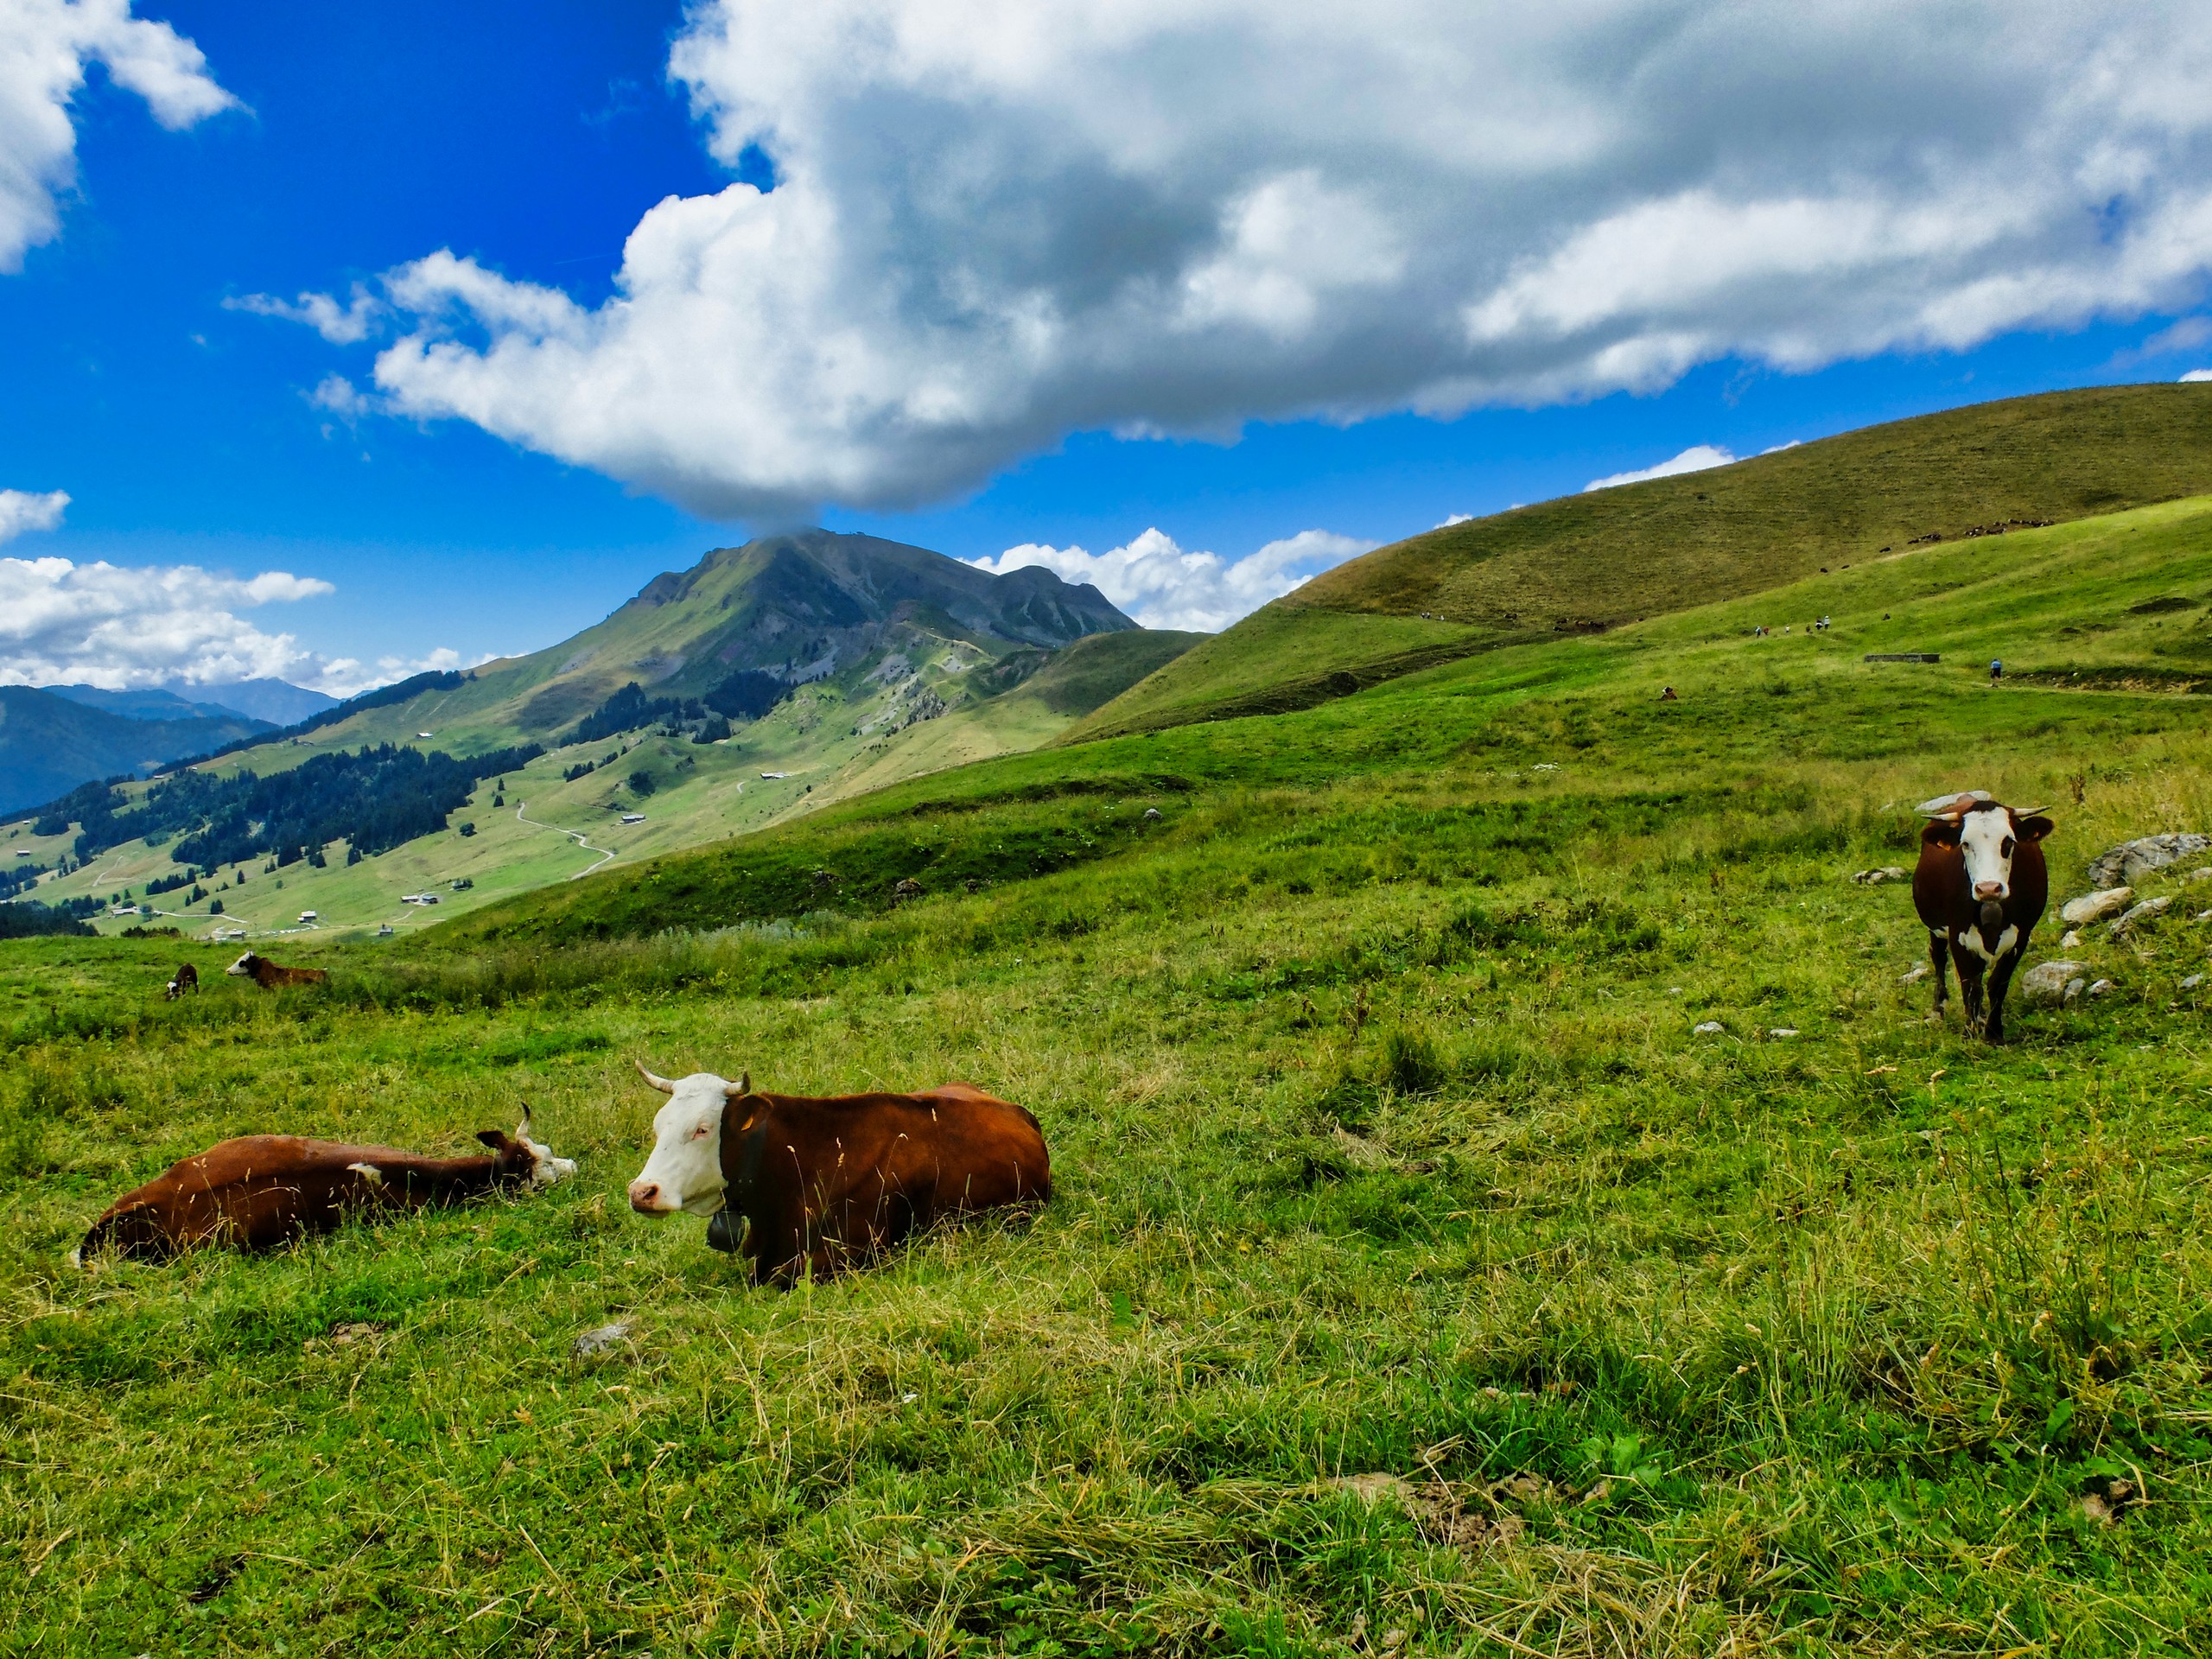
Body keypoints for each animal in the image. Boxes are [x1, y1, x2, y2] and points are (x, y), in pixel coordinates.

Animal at [1902, 787, 2052, 1044]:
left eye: (2008, 841)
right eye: (1965, 843)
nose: (1989, 888)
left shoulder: (2021, 936)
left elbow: (1997, 984)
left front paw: (1994, 1033)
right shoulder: (1957, 935)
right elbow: (1969, 985)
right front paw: (1969, 1033)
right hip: (1936, 929)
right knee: (1939, 959)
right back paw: (1939, 1009)